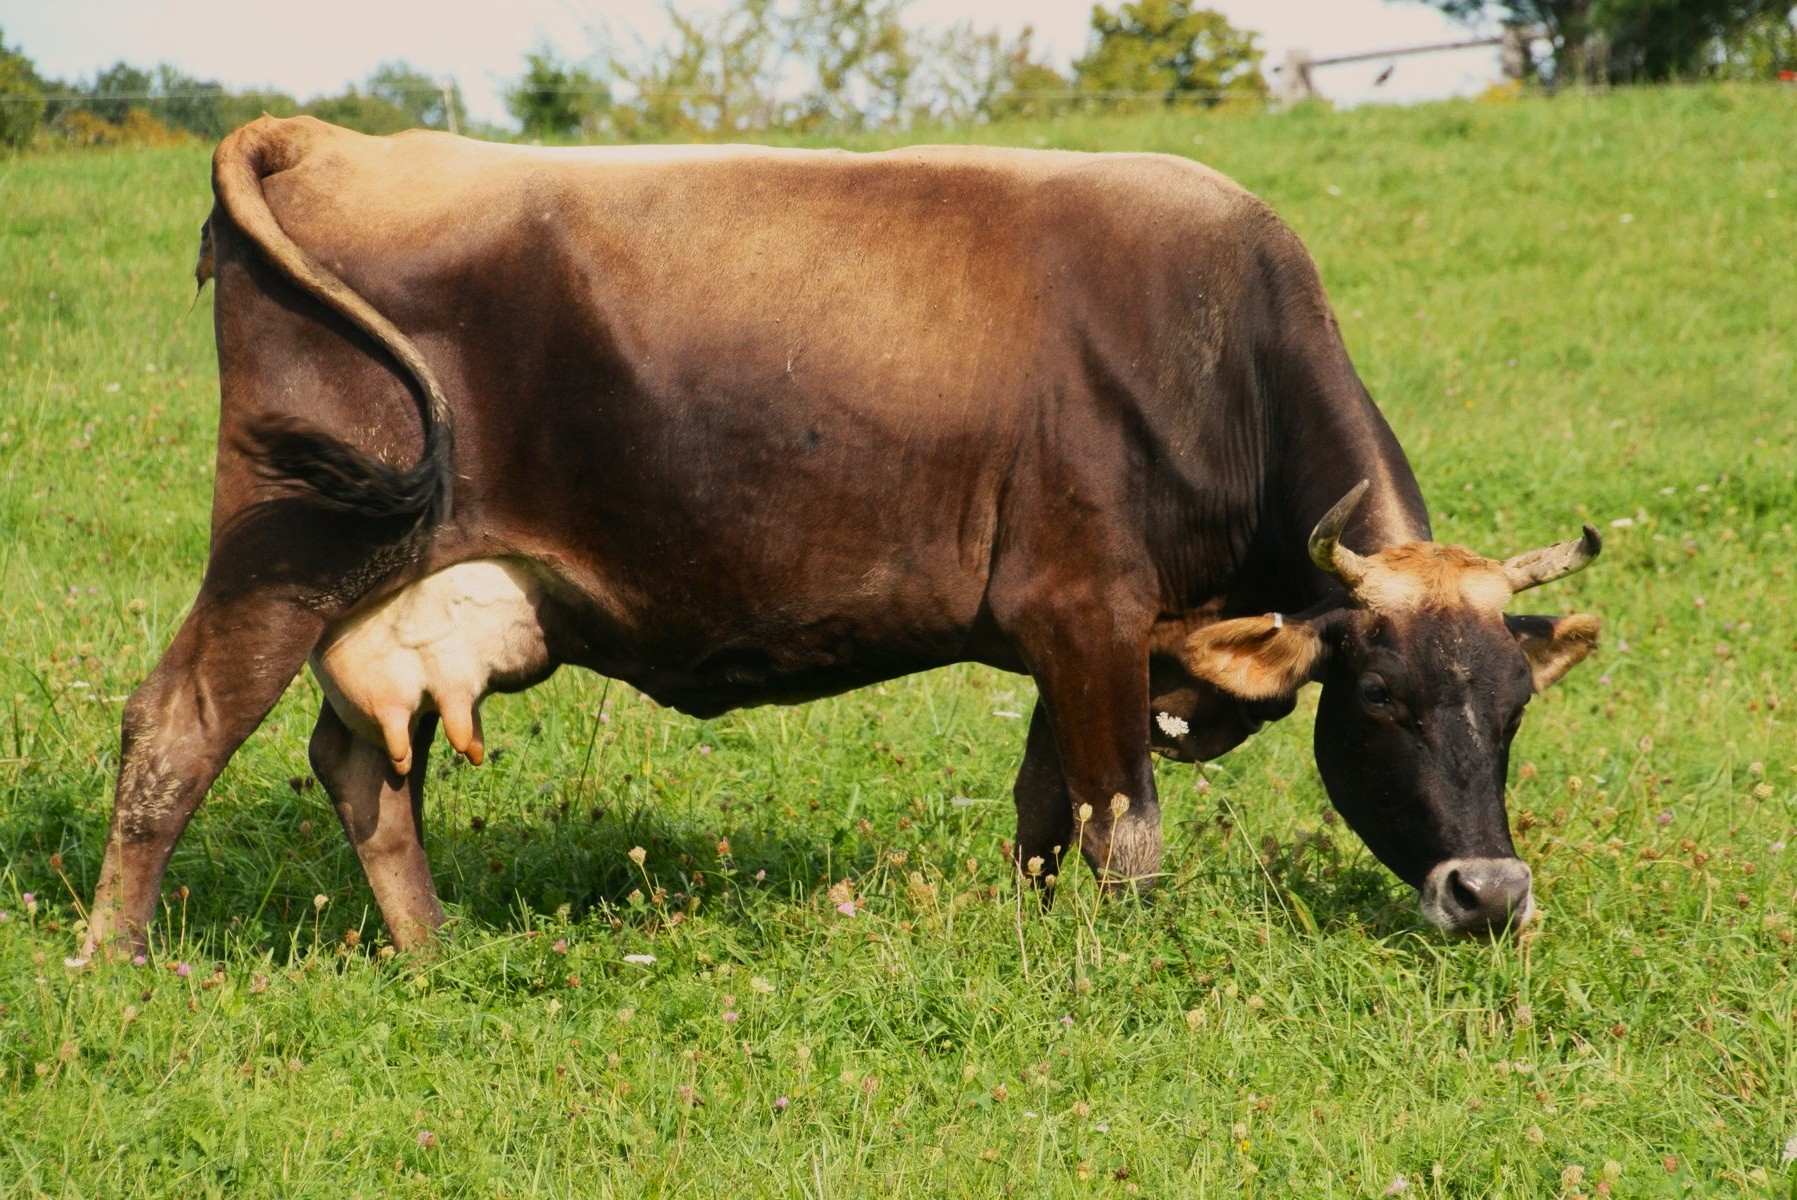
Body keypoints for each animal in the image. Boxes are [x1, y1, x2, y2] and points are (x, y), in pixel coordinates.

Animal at [80, 115, 1602, 959]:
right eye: (1381, 700)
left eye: (1516, 710)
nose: (1488, 892)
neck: (1217, 352)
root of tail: (333, 139)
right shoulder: (1088, 611)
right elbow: (1124, 830)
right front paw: (1127, 965)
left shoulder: (1071, 638)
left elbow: (1042, 814)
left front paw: (1032, 942)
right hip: (284, 547)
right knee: (175, 730)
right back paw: (115, 969)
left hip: (399, 589)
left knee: (363, 765)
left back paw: (434, 953)